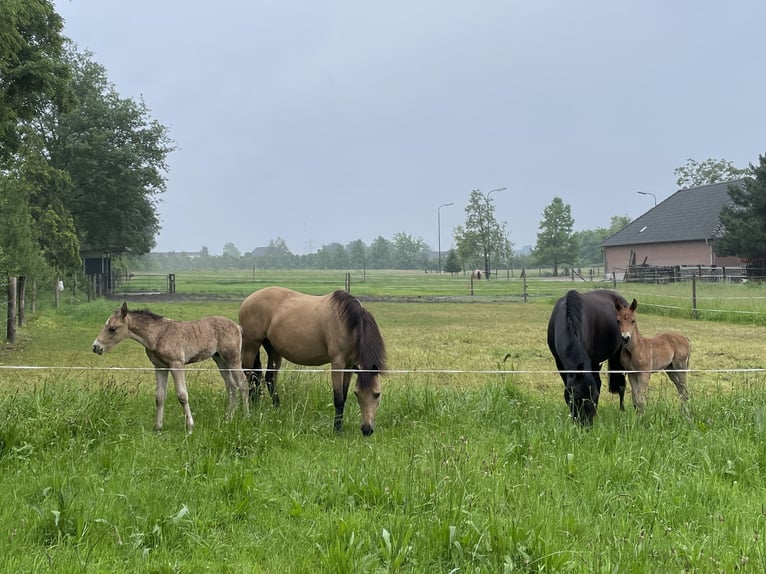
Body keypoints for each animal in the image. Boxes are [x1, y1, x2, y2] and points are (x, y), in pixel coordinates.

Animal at [92, 304, 250, 434]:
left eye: (112, 329)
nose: (96, 347)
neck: (157, 334)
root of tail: (237, 326)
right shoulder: (160, 366)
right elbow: (160, 396)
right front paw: (158, 427)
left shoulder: (176, 364)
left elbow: (182, 395)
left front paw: (190, 427)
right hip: (220, 360)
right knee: (231, 386)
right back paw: (228, 419)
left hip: (232, 358)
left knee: (242, 384)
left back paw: (246, 417)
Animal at [238, 288, 388, 436]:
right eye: (357, 394)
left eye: (377, 394)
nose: (366, 430)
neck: (348, 324)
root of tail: (248, 300)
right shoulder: (338, 363)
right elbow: (338, 399)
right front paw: (337, 430)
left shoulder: (349, 365)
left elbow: (344, 396)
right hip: (250, 347)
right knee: (248, 379)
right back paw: (250, 409)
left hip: (273, 350)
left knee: (269, 379)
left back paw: (276, 409)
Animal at [544, 290, 632, 426]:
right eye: (575, 398)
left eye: (594, 396)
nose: (586, 425)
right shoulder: (559, 363)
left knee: (621, 384)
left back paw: (622, 411)